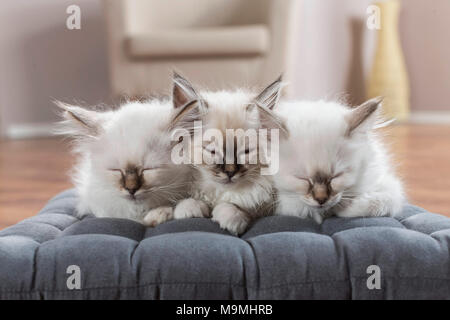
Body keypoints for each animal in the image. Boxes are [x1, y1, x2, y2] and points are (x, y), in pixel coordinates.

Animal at [171, 73, 286, 235]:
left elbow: (236, 205)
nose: (230, 173)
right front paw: (191, 210)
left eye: (245, 151)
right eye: (213, 151)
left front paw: (231, 219)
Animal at [272, 97, 406, 222]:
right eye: (302, 178)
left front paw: (346, 207)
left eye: (336, 176)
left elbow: (386, 199)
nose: (321, 199)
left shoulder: (382, 181)